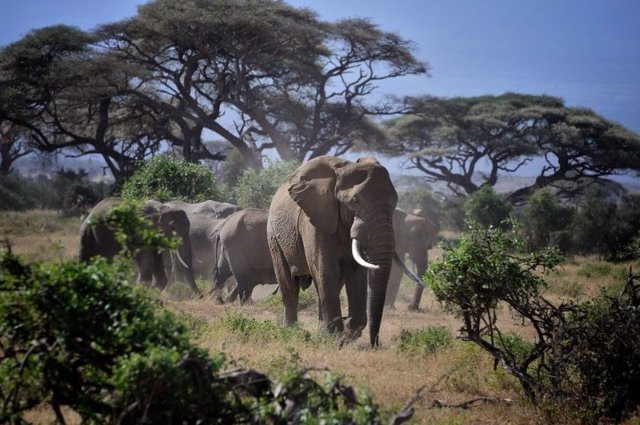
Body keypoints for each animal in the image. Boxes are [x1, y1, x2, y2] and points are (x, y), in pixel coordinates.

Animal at [268, 154, 398, 346]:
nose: (374, 344)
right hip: (274, 236)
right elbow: (325, 269)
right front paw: (336, 337)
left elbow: (355, 272)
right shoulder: (315, 220)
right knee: (289, 284)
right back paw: (291, 331)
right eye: (354, 201)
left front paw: (346, 335)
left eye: (395, 203)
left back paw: (321, 332)